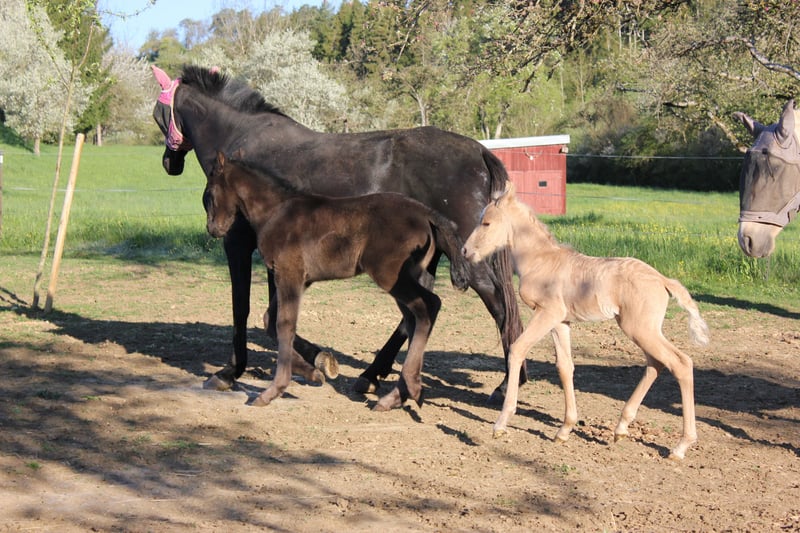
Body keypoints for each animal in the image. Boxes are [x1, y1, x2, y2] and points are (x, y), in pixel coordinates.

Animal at [205, 151, 471, 409]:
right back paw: (395, 397)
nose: (213, 230)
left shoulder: (289, 273)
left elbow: (284, 324)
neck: (276, 212)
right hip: (407, 277)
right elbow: (271, 320)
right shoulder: (299, 279)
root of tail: (427, 213)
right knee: (413, 319)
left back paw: (410, 389)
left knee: (429, 306)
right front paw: (313, 372)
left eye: (209, 194)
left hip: (390, 275)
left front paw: (273, 390)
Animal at [462, 182, 710, 460]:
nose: (465, 251)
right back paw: (621, 428)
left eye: (487, 223)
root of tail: (662, 279)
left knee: (681, 363)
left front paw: (501, 423)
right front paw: (564, 430)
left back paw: (681, 446)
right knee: (656, 364)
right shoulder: (561, 321)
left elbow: (517, 349)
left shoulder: (547, 313)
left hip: (640, 329)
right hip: (642, 330)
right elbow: (565, 366)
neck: (541, 260)